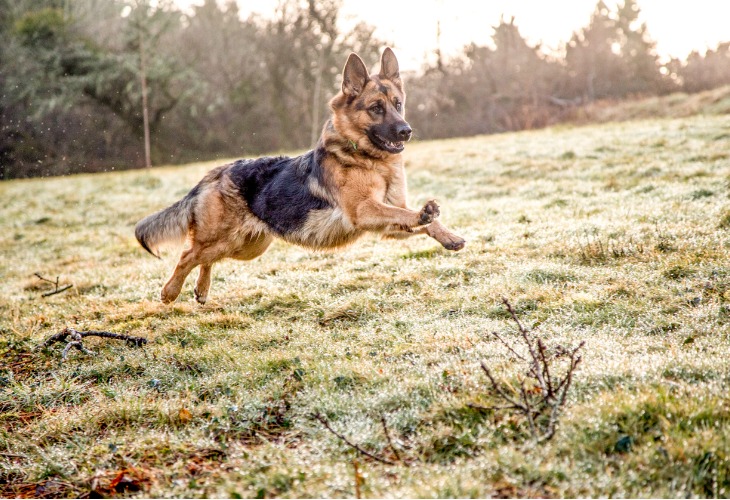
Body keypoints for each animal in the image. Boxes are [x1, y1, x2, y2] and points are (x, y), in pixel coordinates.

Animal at [134, 47, 464, 304]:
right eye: (375, 108)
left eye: (398, 105)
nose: (406, 131)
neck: (366, 157)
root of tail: (218, 171)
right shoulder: (365, 211)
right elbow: (411, 214)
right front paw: (425, 214)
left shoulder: (386, 223)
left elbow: (422, 220)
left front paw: (448, 236)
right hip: (223, 239)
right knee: (188, 255)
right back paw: (169, 292)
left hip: (245, 246)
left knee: (205, 258)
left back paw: (201, 290)